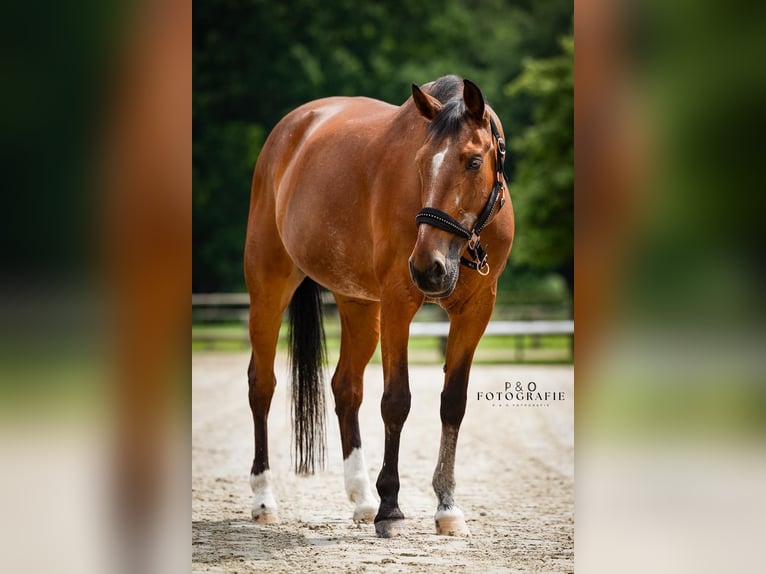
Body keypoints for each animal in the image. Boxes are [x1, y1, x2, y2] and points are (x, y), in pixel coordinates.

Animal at [246, 74, 516, 536]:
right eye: (421, 162)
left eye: (472, 162)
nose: (427, 267)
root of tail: (289, 131)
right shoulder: (397, 303)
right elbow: (396, 401)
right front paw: (391, 506)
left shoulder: (476, 311)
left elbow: (453, 403)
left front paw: (447, 507)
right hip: (268, 289)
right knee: (261, 385)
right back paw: (265, 500)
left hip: (357, 304)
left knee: (345, 388)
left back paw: (362, 499)